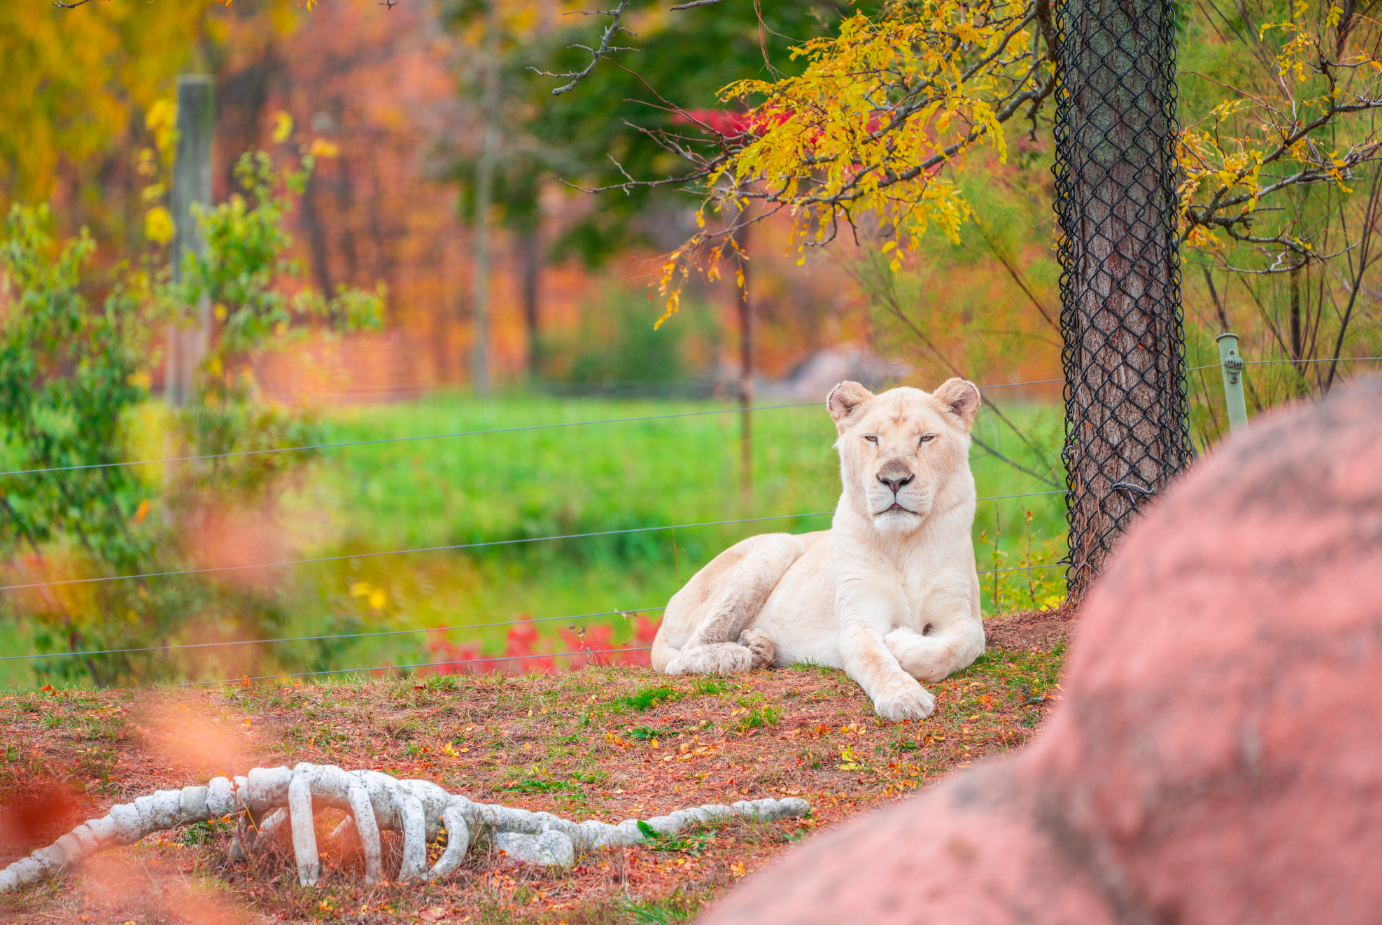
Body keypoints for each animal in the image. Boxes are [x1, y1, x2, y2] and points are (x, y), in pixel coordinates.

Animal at [650, 378, 984, 720]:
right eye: (871, 438)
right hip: (781, 542)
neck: (903, 542)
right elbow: (875, 660)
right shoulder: (856, 621)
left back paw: (757, 646)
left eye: (926, 438)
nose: (893, 480)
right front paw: (903, 697)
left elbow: (957, 645)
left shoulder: (963, 612)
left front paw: (901, 643)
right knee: (681, 656)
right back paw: (734, 655)